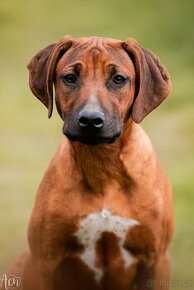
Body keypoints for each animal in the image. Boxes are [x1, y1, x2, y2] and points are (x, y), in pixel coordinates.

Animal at [8, 35, 174, 288]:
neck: (102, 167)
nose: (90, 120)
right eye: (70, 78)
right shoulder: (42, 261)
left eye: (118, 79)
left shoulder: (157, 260)